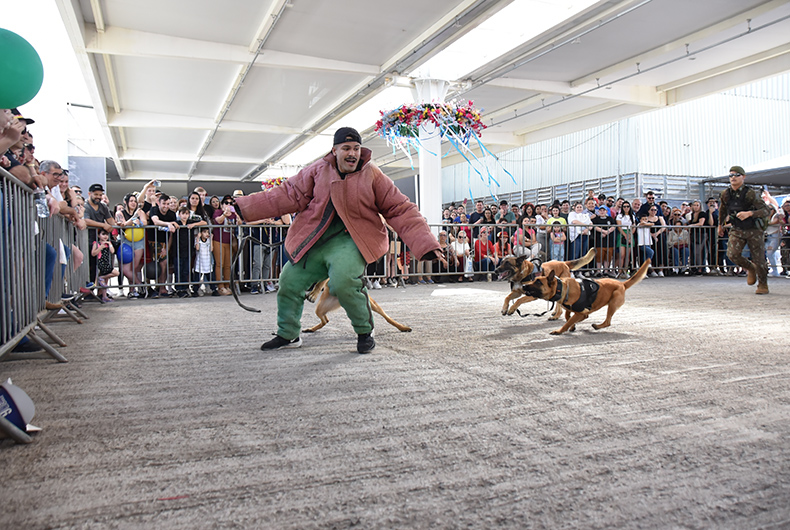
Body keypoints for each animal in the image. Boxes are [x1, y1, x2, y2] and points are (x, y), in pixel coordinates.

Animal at [518, 259, 650, 335]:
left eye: (538, 282)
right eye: (534, 280)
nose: (523, 286)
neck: (562, 289)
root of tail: (622, 284)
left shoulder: (580, 312)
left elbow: (567, 322)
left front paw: (559, 331)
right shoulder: (574, 310)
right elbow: (568, 316)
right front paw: (572, 326)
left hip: (612, 304)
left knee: (608, 322)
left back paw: (597, 326)